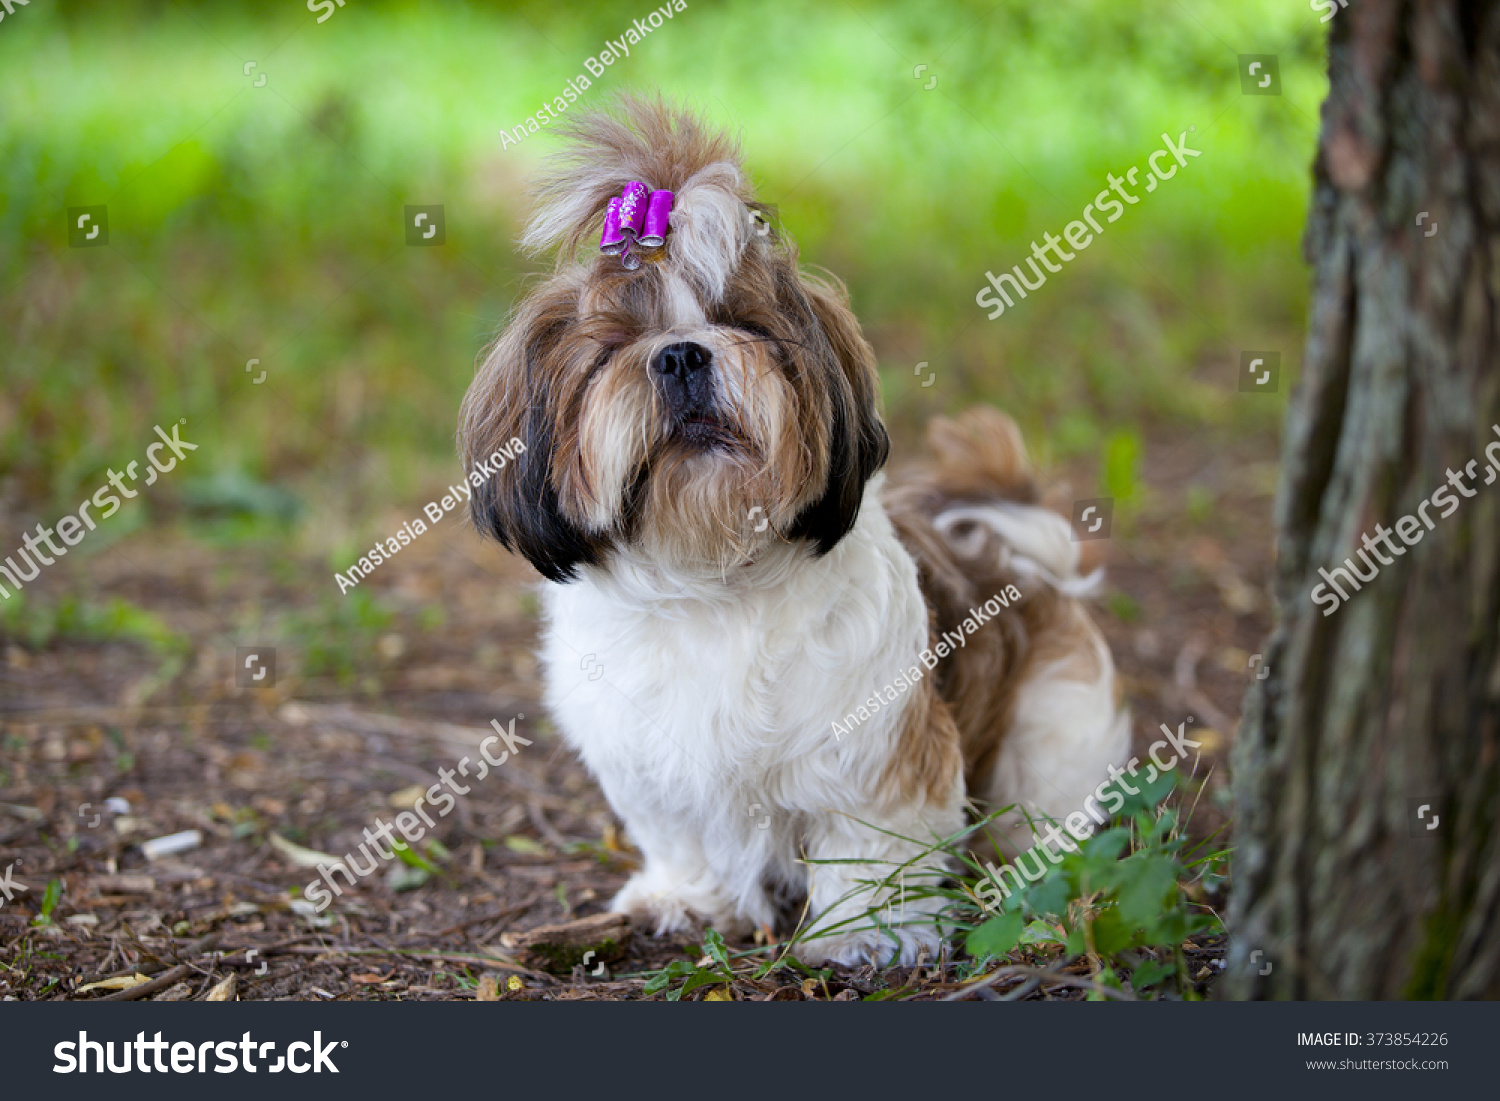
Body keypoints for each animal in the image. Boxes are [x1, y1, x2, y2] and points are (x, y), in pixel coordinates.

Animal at [456, 99, 1128, 972]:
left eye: (744, 324)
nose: (680, 354)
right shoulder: (652, 770)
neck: (709, 581)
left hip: (1051, 723)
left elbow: (870, 848)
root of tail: (1010, 540)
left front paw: (868, 935)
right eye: (611, 350)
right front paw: (687, 899)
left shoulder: (875, 758)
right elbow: (685, 841)